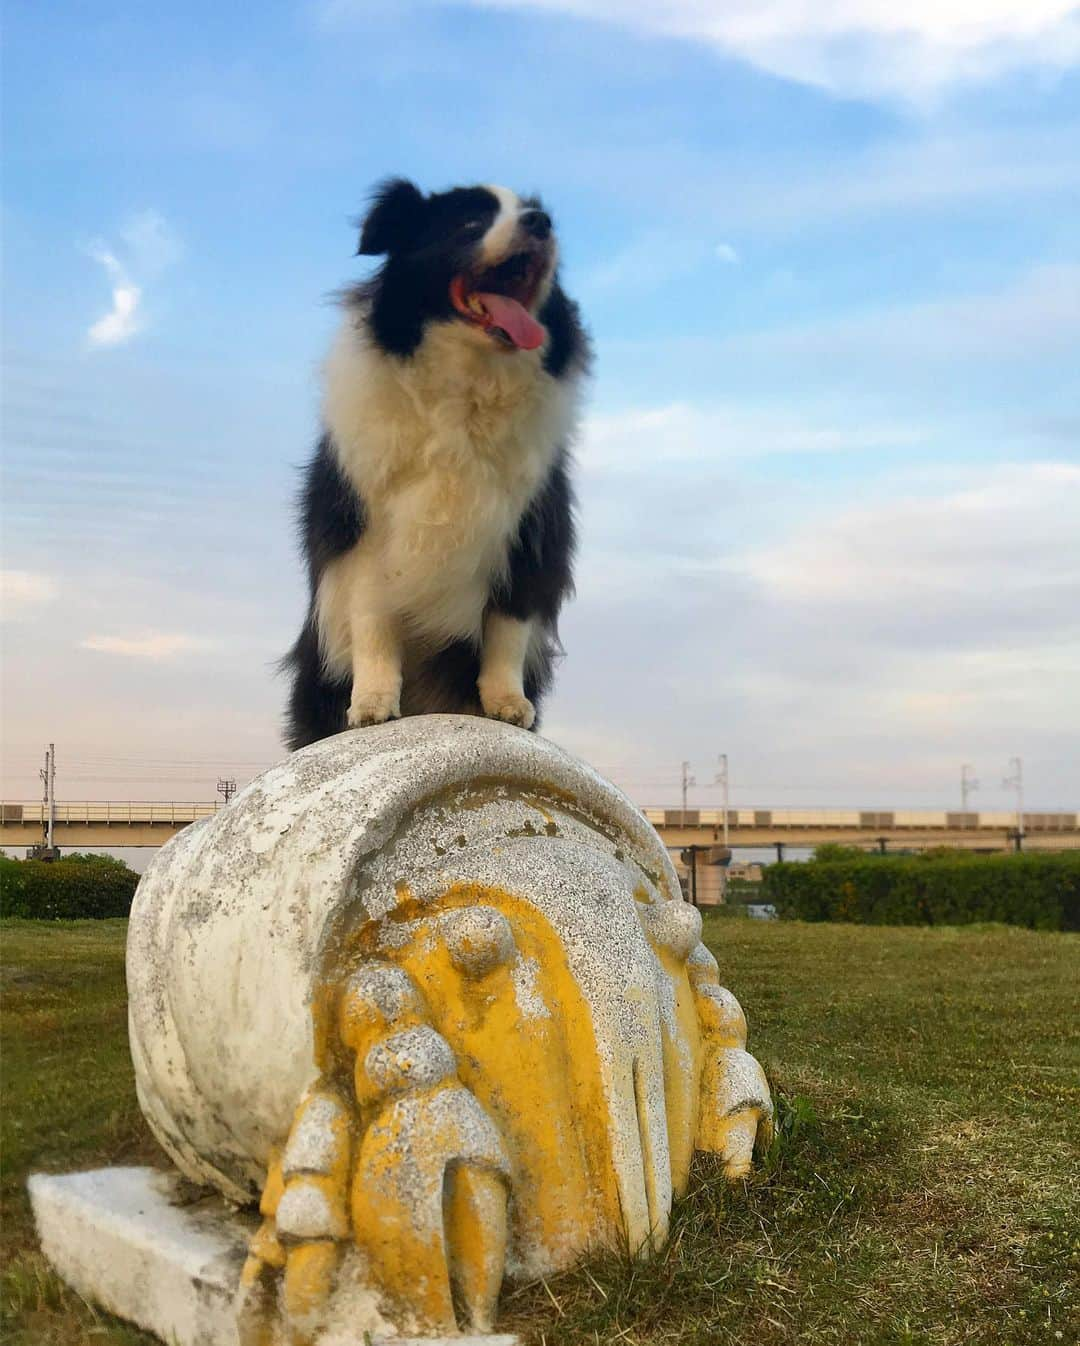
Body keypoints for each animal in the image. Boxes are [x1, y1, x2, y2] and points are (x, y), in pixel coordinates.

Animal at [284, 176, 589, 759]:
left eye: (536, 214)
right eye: (468, 223)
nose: (541, 223)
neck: (467, 381)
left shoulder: (531, 526)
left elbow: (509, 624)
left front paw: (508, 706)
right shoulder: (363, 526)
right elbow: (372, 616)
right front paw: (372, 707)